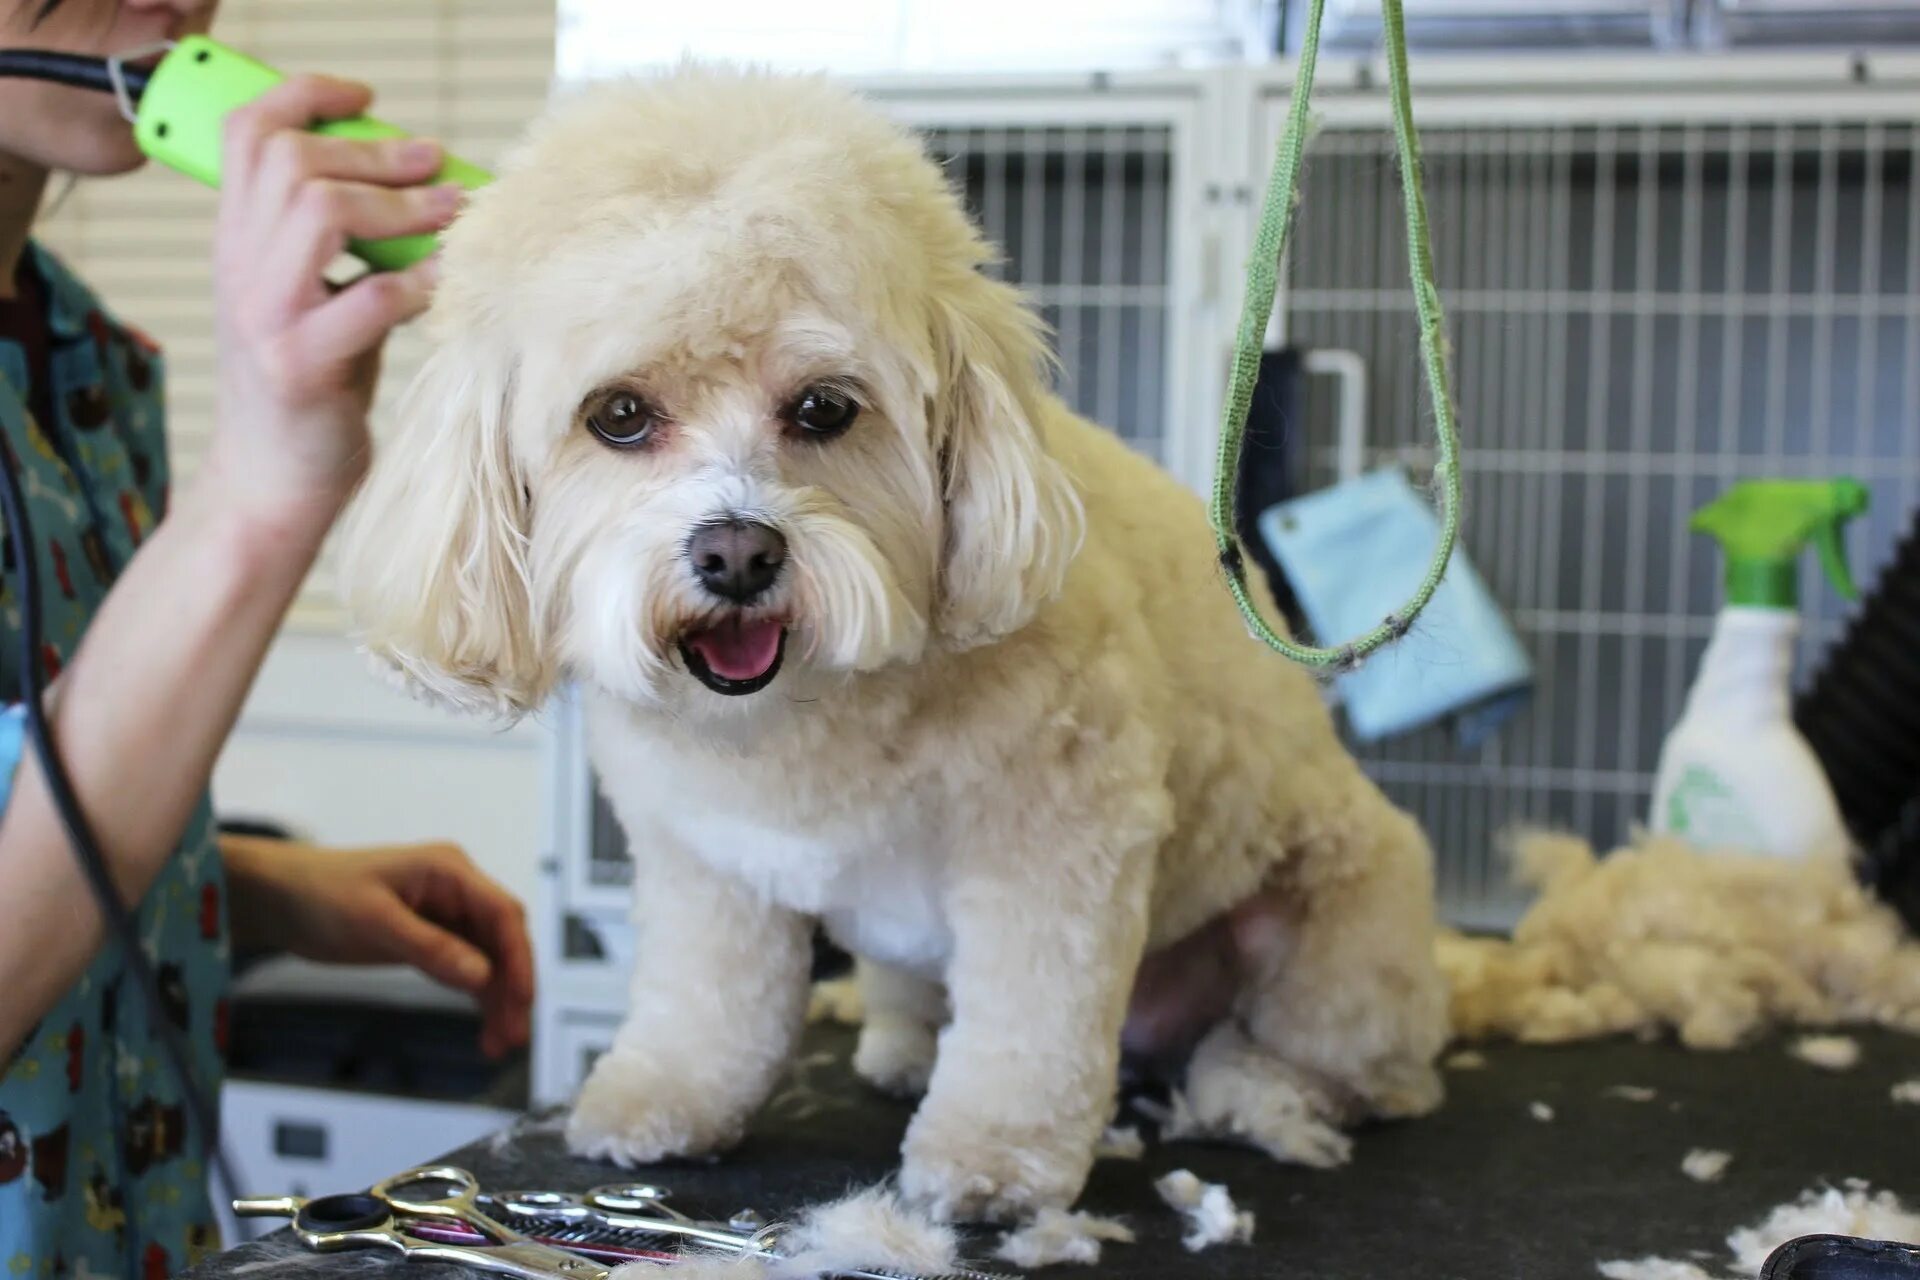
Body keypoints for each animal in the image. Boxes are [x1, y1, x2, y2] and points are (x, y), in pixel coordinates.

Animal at [341, 67, 1443, 1220]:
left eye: (825, 408)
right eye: (621, 415)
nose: (738, 553)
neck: (802, 718)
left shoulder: (1058, 843)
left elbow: (1029, 1023)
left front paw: (997, 1157)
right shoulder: (703, 860)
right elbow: (708, 999)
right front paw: (663, 1097)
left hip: (1336, 931)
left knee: (1364, 1067)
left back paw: (1258, 1087)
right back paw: (909, 1047)